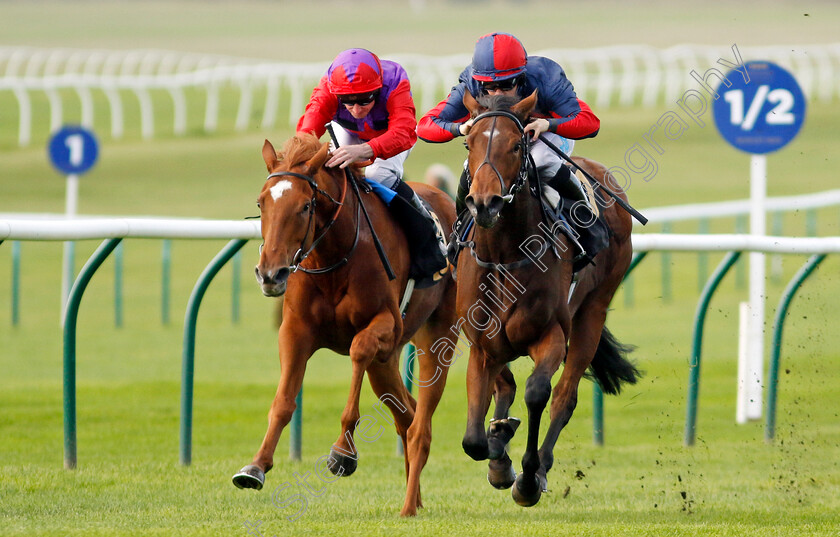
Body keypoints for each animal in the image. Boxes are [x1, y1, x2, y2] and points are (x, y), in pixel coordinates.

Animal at [233, 131, 460, 516]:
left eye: (305, 206)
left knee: (421, 423)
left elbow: (358, 350)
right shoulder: (295, 331)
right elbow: (283, 400)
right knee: (407, 415)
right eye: (262, 203)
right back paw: (414, 498)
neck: (334, 258)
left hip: (437, 335)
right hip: (388, 361)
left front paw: (342, 452)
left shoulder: (385, 325)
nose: (270, 274)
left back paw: (409, 504)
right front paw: (256, 466)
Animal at [456, 90, 640, 504]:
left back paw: (539, 467)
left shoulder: (552, 333)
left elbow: (538, 392)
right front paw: (498, 446)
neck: (505, 254)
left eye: (515, 145)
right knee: (507, 387)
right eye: (469, 143)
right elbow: (473, 438)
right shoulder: (482, 343)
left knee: (565, 396)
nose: (485, 203)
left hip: (593, 311)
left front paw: (526, 475)